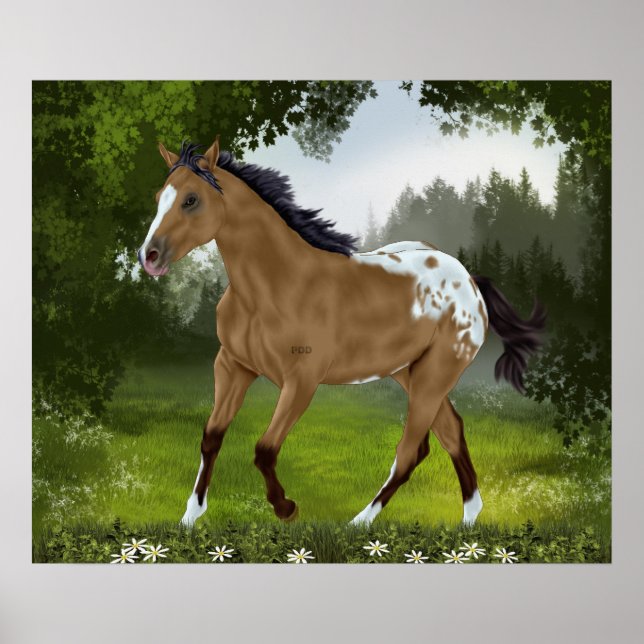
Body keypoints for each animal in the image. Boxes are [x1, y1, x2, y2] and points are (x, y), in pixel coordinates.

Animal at [137, 137, 546, 528]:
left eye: (191, 199)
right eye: (159, 197)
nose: (149, 256)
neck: (276, 286)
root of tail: (470, 281)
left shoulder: (301, 380)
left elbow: (264, 449)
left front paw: (286, 508)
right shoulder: (233, 366)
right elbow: (211, 437)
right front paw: (190, 517)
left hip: (436, 374)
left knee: (411, 450)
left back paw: (359, 523)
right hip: (408, 372)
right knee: (450, 432)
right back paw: (468, 518)